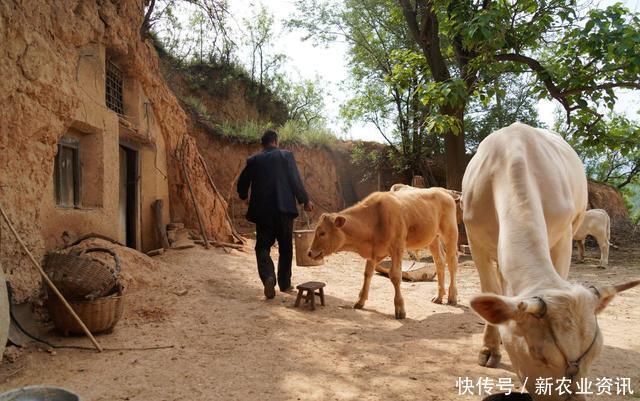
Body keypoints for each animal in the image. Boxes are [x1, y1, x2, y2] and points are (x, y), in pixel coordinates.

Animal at [462, 122, 636, 400]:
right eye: (539, 354)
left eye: (596, 353)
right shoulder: (474, 239)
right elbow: (489, 289)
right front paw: (490, 349)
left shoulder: (564, 237)